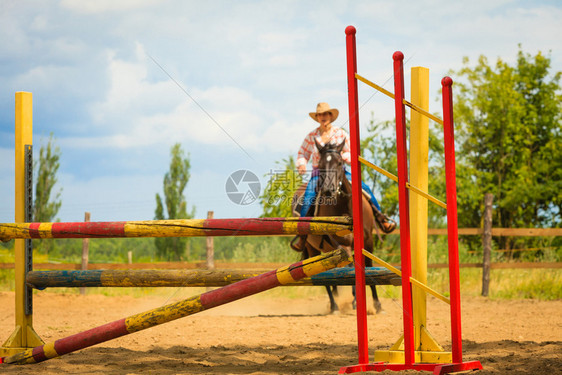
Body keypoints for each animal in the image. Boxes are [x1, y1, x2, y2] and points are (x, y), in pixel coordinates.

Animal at [294, 139, 380, 314]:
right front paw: (355, 300)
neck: (345, 206)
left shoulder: (368, 241)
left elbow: (368, 266)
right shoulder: (342, 244)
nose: (328, 190)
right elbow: (350, 267)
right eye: (320, 164)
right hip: (312, 249)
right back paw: (334, 306)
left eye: (340, 162)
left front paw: (377, 304)